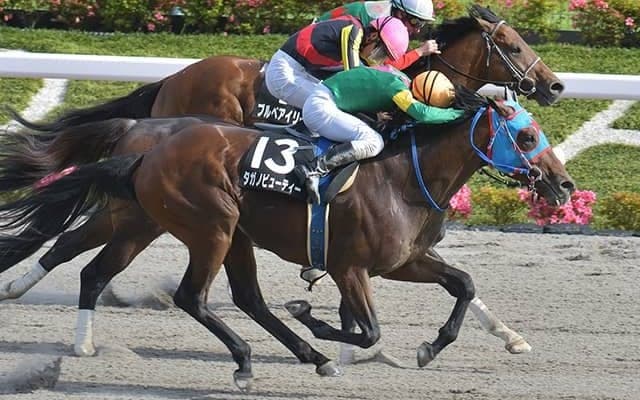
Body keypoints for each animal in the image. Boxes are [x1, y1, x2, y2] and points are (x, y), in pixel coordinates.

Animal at [0, 4, 558, 357]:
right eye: (510, 45)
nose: (554, 86)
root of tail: (167, 86)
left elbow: (457, 282)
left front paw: (510, 335)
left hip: (143, 214)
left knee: (81, 249)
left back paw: (35, 299)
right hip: (150, 214)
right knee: (77, 244)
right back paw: (33, 298)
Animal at [0, 92, 575, 389]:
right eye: (527, 136)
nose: (564, 184)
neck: (403, 177)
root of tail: (146, 148)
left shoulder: (405, 260)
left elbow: (464, 283)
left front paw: (433, 346)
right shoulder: (351, 266)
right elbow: (367, 328)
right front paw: (316, 318)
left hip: (210, 230)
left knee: (240, 297)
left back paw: (308, 355)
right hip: (207, 225)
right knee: (190, 295)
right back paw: (247, 361)